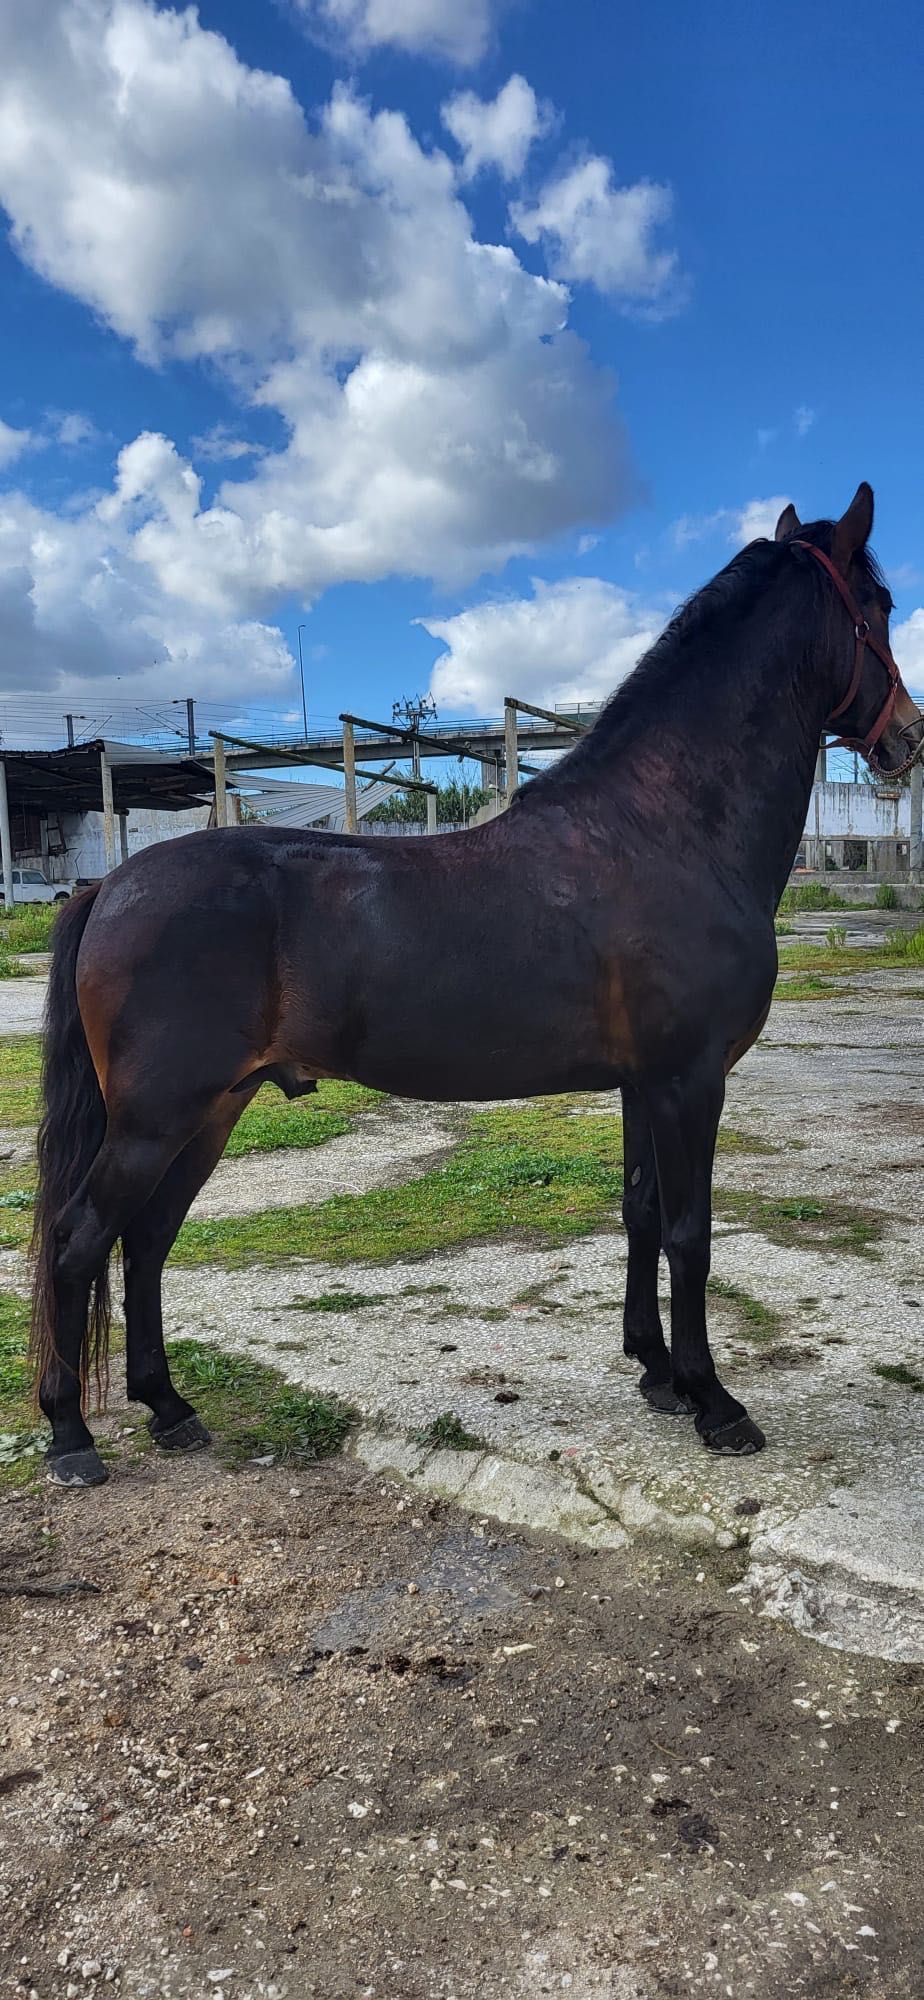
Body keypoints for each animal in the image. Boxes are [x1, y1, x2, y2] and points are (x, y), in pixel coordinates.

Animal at [28, 484, 924, 1488]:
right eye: (880, 605)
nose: (908, 739)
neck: (667, 831)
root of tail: (111, 886)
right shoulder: (689, 1080)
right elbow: (691, 1235)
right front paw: (714, 1401)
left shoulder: (643, 1085)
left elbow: (642, 1213)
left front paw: (655, 1374)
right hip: (156, 1117)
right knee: (80, 1240)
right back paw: (71, 1435)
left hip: (214, 1108)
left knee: (146, 1242)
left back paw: (170, 1408)